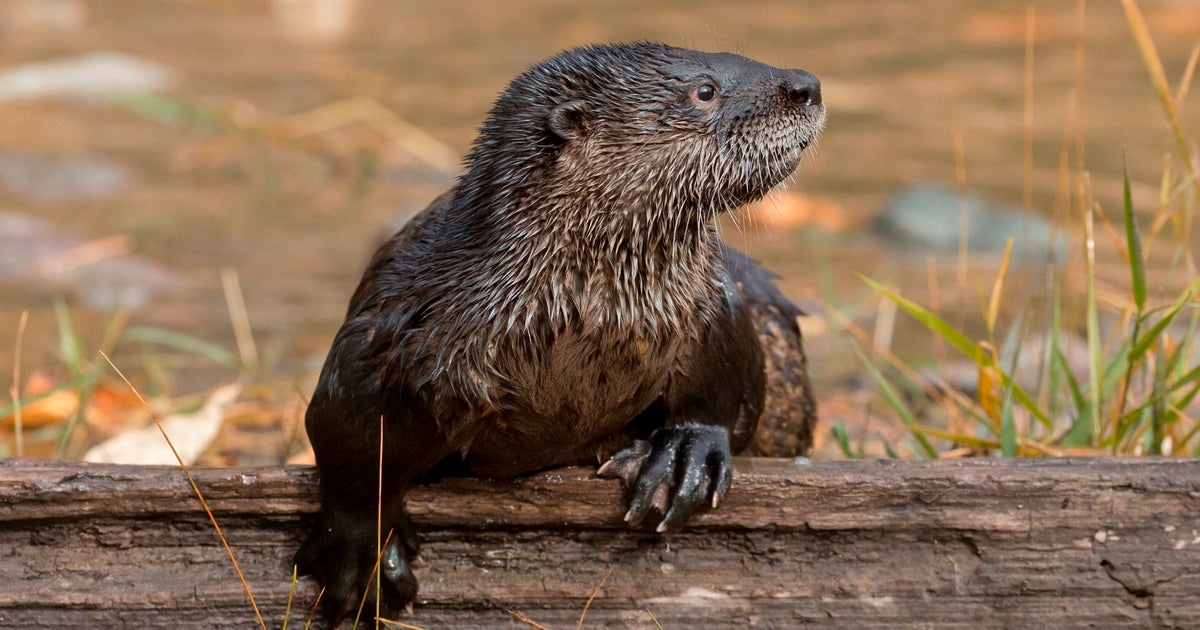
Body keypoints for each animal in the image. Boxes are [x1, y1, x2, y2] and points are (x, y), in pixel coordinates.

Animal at [296, 42, 825, 619]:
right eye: (704, 91)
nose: (807, 85)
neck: (584, 321)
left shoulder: (709, 303)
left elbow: (722, 383)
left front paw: (685, 453)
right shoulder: (394, 330)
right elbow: (346, 436)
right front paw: (363, 551)